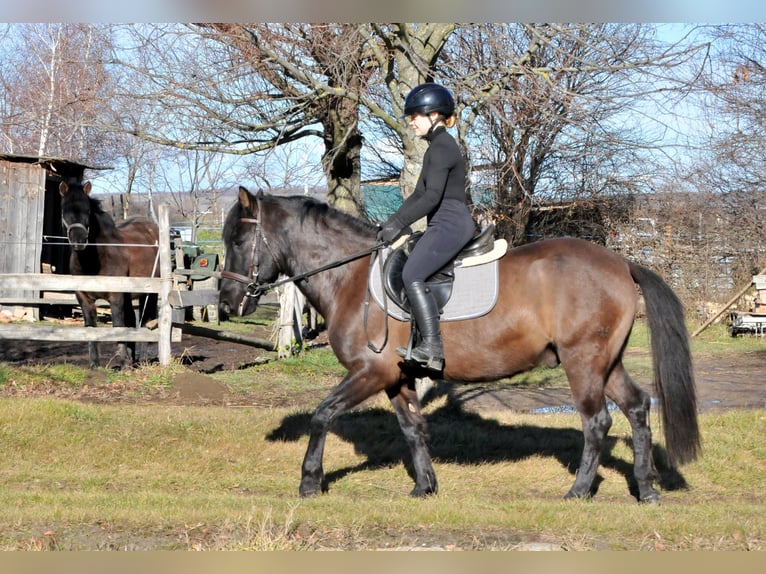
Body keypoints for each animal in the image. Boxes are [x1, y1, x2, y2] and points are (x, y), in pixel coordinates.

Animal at [59, 181, 160, 368]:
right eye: (64, 210)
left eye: (88, 211)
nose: (79, 240)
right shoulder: (84, 299)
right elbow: (91, 328)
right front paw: (95, 364)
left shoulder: (116, 297)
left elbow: (118, 326)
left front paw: (124, 362)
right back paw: (132, 359)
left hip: (149, 294)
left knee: (144, 321)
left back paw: (141, 360)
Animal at [218, 188, 704, 504]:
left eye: (238, 240)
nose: (226, 304)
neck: (352, 278)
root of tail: (621, 262)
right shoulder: (396, 377)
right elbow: (412, 428)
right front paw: (424, 486)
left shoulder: (370, 372)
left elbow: (322, 414)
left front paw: (309, 482)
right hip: (606, 361)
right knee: (637, 407)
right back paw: (646, 489)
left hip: (583, 362)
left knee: (596, 422)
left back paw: (579, 491)